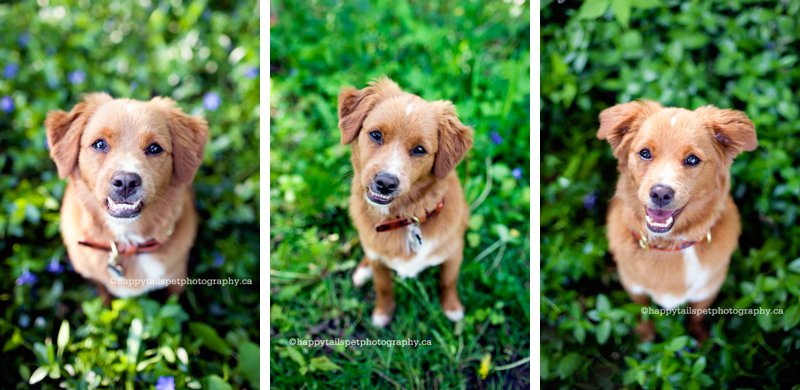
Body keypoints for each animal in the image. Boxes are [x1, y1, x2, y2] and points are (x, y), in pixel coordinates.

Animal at [600, 100, 756, 342]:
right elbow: (642, 313)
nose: (660, 193)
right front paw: (645, 337)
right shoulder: (633, 287)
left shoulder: (707, 290)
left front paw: (702, 340)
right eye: (645, 153)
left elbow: (696, 316)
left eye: (692, 159)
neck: (669, 246)